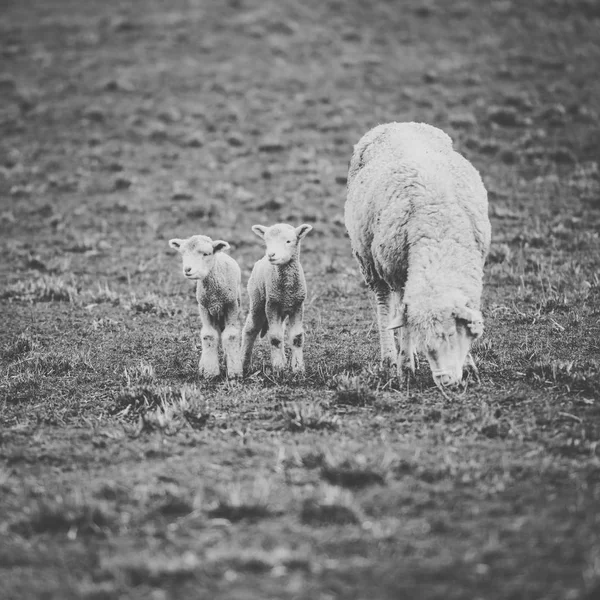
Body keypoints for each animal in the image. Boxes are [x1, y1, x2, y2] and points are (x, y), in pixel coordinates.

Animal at [168, 233, 243, 378]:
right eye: (183, 253)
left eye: (206, 254)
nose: (187, 269)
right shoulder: (204, 307)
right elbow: (209, 335)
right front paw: (210, 371)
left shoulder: (231, 305)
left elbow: (230, 335)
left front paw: (235, 372)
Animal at [240, 224, 312, 376]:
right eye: (267, 241)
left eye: (288, 241)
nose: (271, 254)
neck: (287, 291)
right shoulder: (271, 305)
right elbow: (275, 338)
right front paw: (278, 367)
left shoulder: (298, 305)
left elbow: (296, 338)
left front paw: (298, 368)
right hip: (257, 302)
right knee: (250, 329)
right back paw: (243, 363)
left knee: (281, 330)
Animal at [344, 124, 490, 392]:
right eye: (426, 343)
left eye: (451, 334)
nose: (445, 381)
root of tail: (396, 123)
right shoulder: (398, 274)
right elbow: (405, 325)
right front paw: (405, 368)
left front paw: (469, 366)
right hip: (370, 260)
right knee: (384, 304)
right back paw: (390, 357)